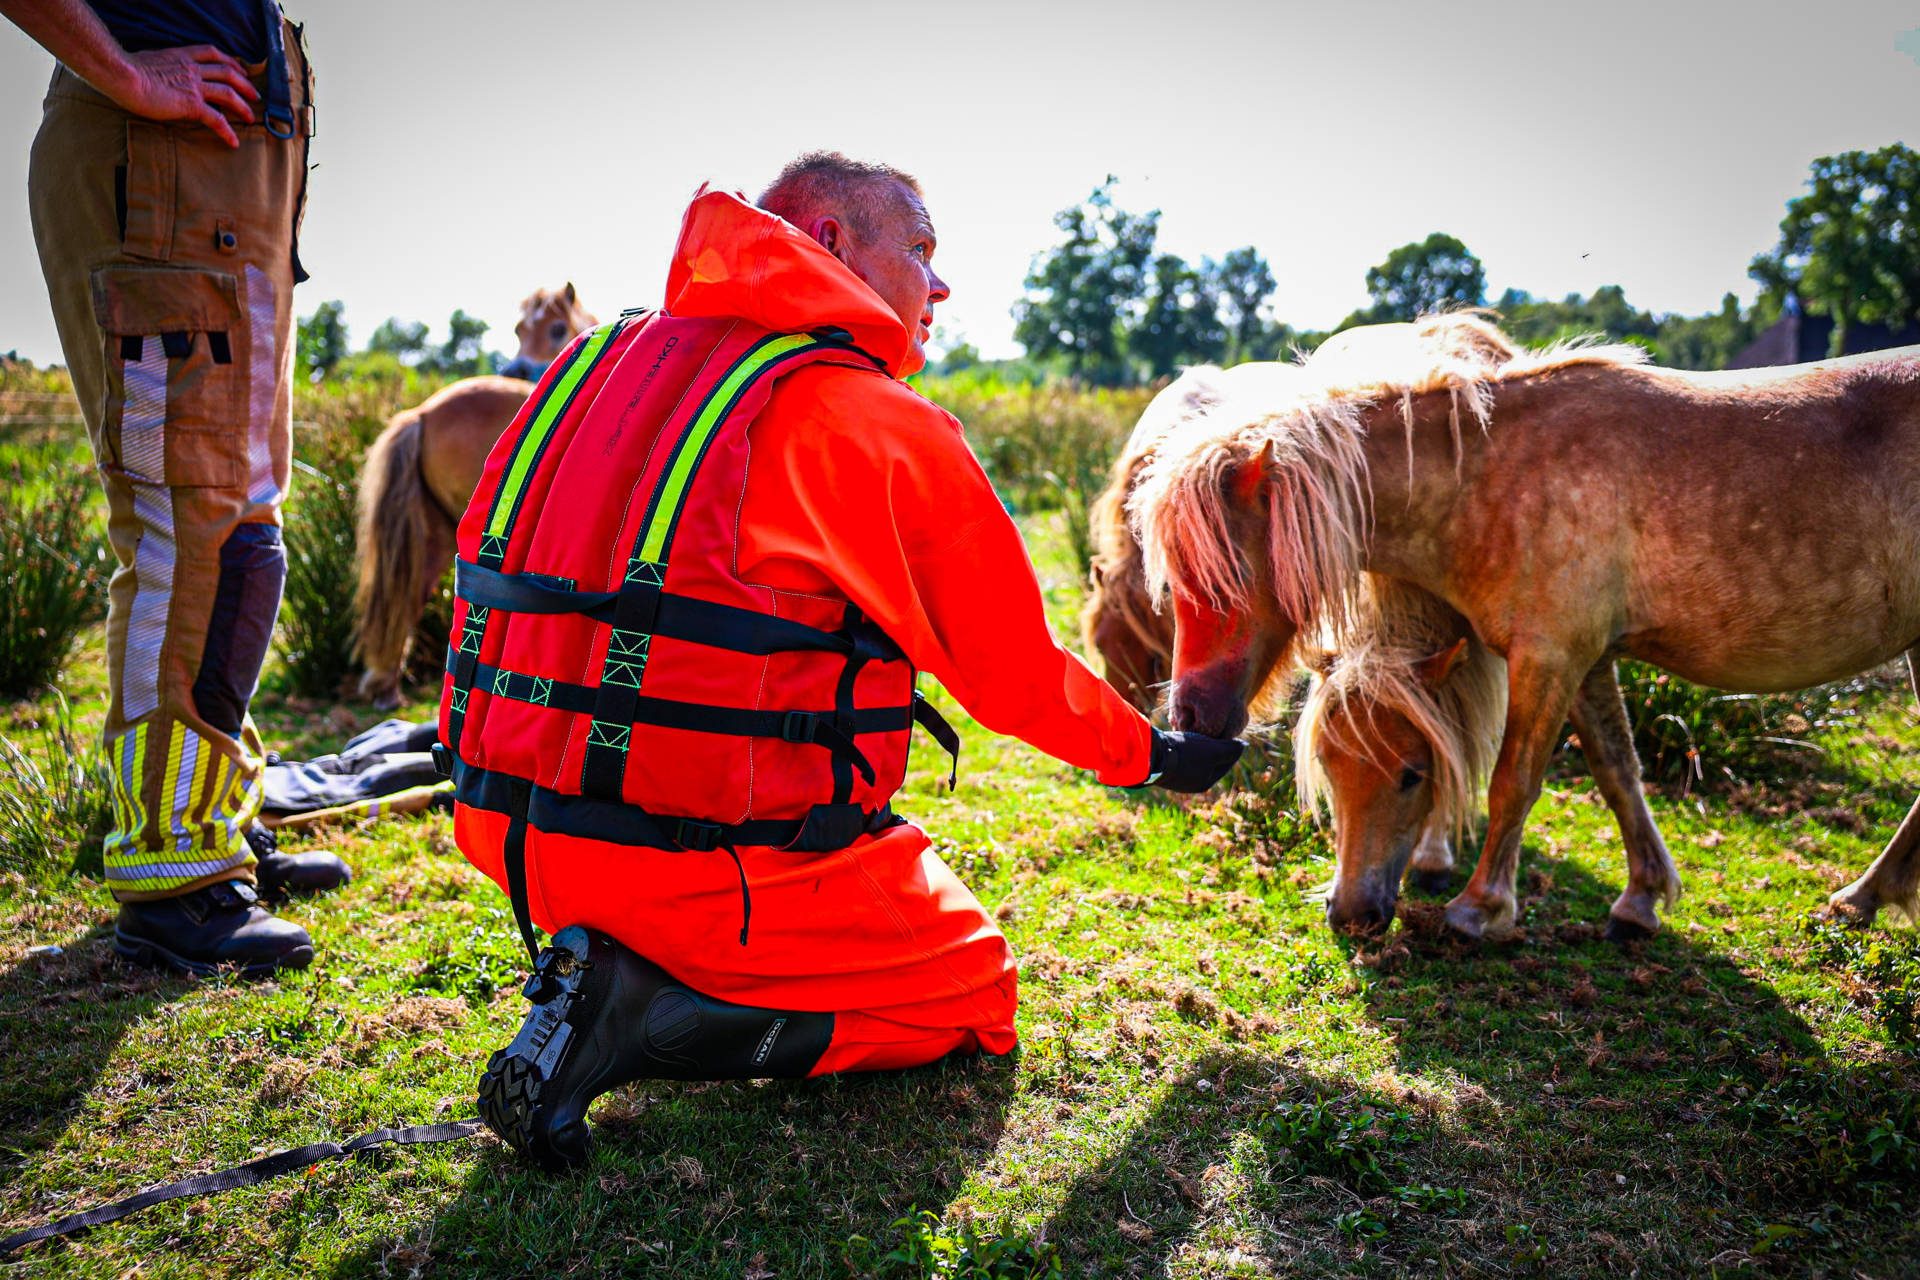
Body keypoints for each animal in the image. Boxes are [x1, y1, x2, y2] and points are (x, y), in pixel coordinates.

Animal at [354, 285, 596, 706]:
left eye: (556, 328)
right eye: (519, 329)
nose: (517, 370)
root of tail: (420, 414)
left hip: (435, 534)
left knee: (408, 597)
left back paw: (384, 686)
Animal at [1134, 316, 1920, 941]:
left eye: (1413, 776)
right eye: (1328, 767)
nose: (1190, 714)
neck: (1484, 477)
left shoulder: (1549, 657)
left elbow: (1513, 782)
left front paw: (1480, 909)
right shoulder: (1589, 658)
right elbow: (1617, 769)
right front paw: (1640, 900)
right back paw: (1861, 901)